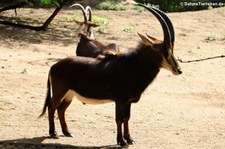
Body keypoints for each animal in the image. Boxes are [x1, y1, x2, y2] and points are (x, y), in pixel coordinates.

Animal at [39, 3, 182, 147]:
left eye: (172, 48)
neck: (132, 66)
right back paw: (53, 133)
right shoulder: (120, 100)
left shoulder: (128, 102)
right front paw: (121, 141)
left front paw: (129, 139)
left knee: (61, 109)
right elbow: (119, 119)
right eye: (164, 50)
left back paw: (67, 132)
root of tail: (53, 66)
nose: (178, 70)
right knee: (52, 107)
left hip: (69, 94)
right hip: (60, 92)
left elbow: (127, 118)